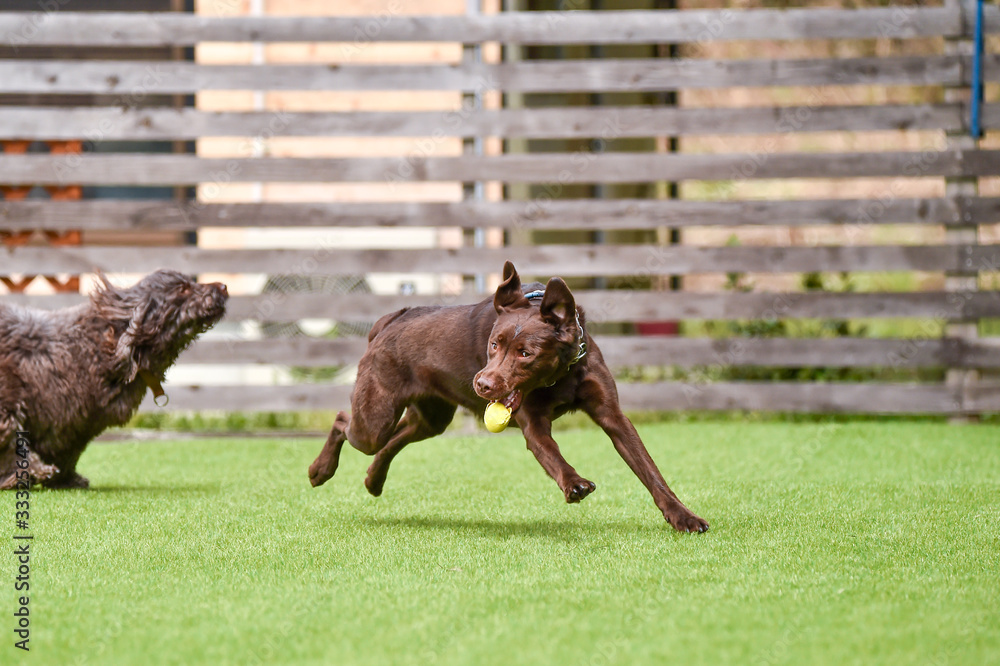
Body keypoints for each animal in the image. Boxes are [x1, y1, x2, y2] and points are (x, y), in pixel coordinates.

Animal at [0, 270, 227, 488]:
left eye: (192, 282)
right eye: (182, 289)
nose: (223, 286)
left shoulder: (76, 424)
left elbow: (67, 452)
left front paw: (65, 479)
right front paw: (32, 473)